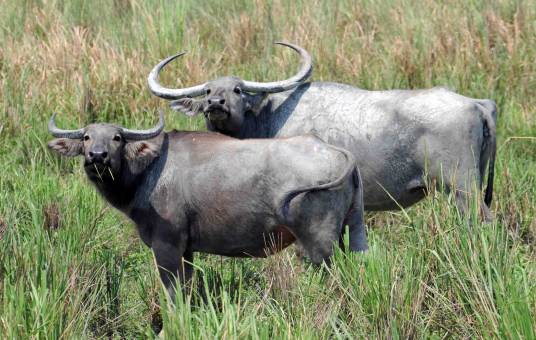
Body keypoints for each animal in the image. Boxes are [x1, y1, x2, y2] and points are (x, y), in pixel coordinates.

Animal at [47, 111, 368, 300]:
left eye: (117, 137)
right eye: (87, 137)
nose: (97, 156)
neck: (150, 170)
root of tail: (334, 150)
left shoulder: (166, 246)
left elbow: (173, 295)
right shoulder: (186, 250)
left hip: (320, 246)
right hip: (353, 232)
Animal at [148, 42, 498, 219]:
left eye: (237, 90)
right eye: (207, 91)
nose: (215, 104)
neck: (270, 118)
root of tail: (476, 103)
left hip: (463, 188)